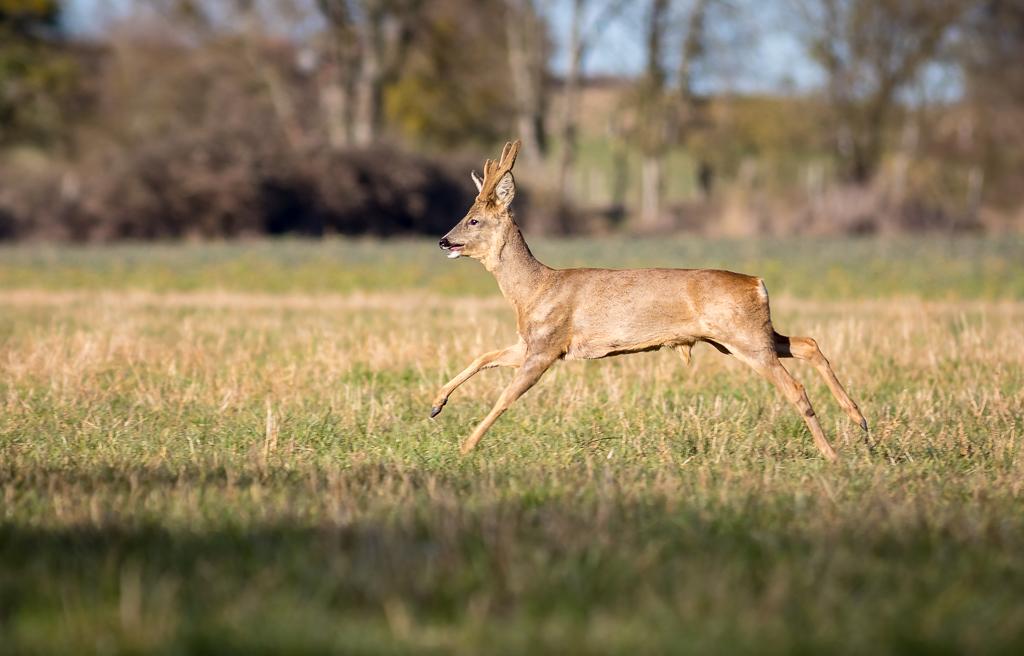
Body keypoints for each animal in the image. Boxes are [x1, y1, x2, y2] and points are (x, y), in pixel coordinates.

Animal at [430, 141, 864, 458]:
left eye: (473, 220)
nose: (444, 240)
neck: (534, 289)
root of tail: (758, 283)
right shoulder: (533, 342)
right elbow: (483, 356)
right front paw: (436, 404)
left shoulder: (547, 346)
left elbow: (505, 397)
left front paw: (466, 446)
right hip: (745, 336)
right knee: (808, 343)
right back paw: (858, 420)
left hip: (744, 338)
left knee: (795, 387)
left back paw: (832, 454)